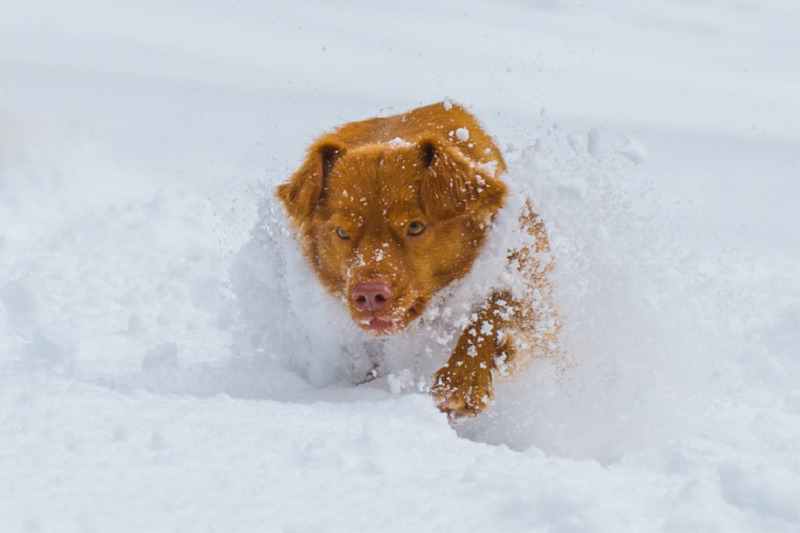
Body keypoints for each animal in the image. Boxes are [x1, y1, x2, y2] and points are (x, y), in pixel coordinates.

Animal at [276, 101, 556, 420]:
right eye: (342, 232)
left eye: (414, 227)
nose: (369, 295)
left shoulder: (537, 295)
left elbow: (493, 312)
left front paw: (461, 381)